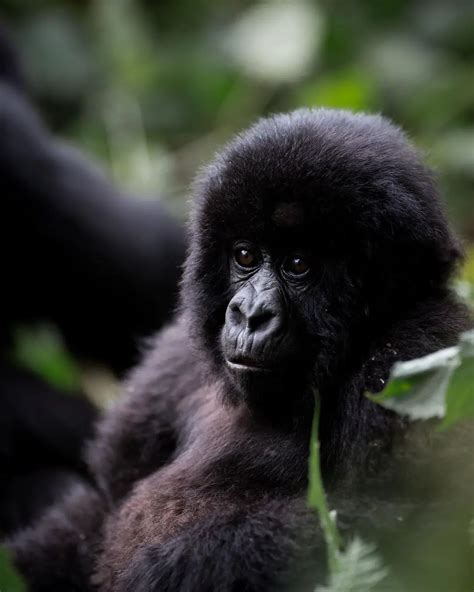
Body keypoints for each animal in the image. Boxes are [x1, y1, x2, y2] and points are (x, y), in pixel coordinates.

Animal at [10, 108, 470, 588]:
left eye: (298, 264)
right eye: (245, 256)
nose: (250, 314)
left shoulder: (421, 349)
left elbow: (421, 531)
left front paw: (170, 566)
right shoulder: (173, 359)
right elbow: (102, 498)